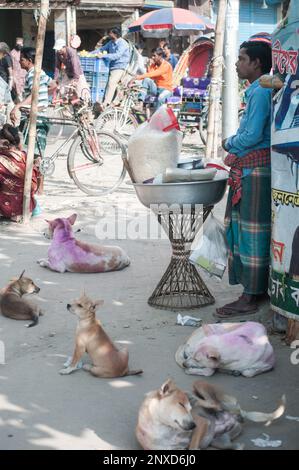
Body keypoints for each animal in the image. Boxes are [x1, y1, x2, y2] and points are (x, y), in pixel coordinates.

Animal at [136, 378, 286, 452]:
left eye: (189, 408)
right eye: (181, 405)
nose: (193, 425)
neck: (162, 428)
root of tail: (238, 415)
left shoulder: (202, 423)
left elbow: (193, 447)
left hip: (200, 385)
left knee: (215, 403)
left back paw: (194, 398)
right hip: (221, 442)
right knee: (236, 445)